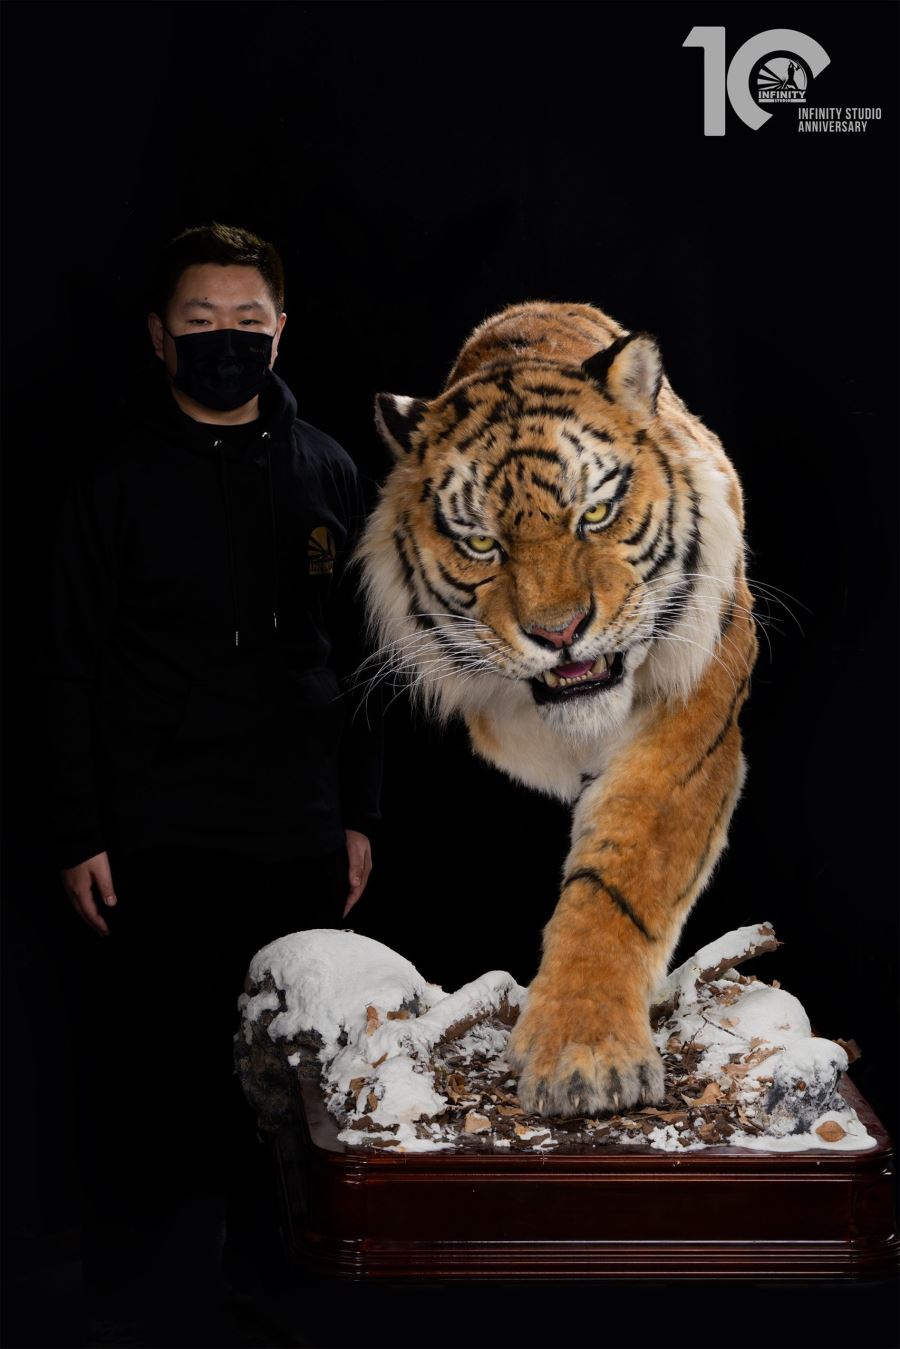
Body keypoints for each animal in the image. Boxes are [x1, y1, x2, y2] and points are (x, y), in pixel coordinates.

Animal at [357, 301, 758, 1119]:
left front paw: (586, 1056)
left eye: (595, 513)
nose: (559, 632)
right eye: (483, 544)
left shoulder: (693, 712)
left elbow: (617, 882)